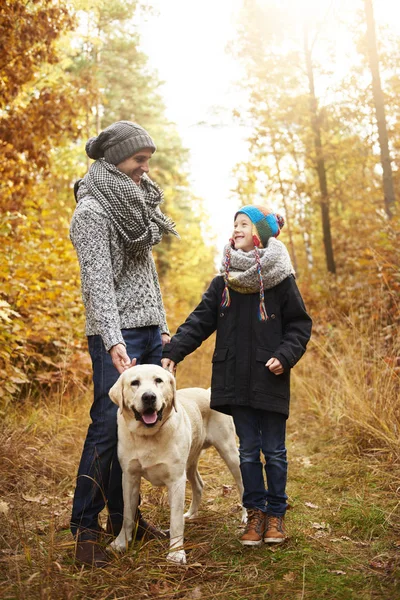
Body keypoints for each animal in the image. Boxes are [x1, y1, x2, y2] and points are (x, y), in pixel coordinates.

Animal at [109, 364, 245, 564]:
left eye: (158, 380)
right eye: (134, 383)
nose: (149, 397)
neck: (148, 436)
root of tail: (207, 391)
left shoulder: (176, 480)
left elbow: (175, 521)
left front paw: (176, 553)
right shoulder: (129, 477)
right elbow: (127, 514)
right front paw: (120, 543)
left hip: (230, 453)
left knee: (242, 485)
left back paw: (246, 516)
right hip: (190, 461)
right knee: (199, 484)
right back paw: (191, 514)